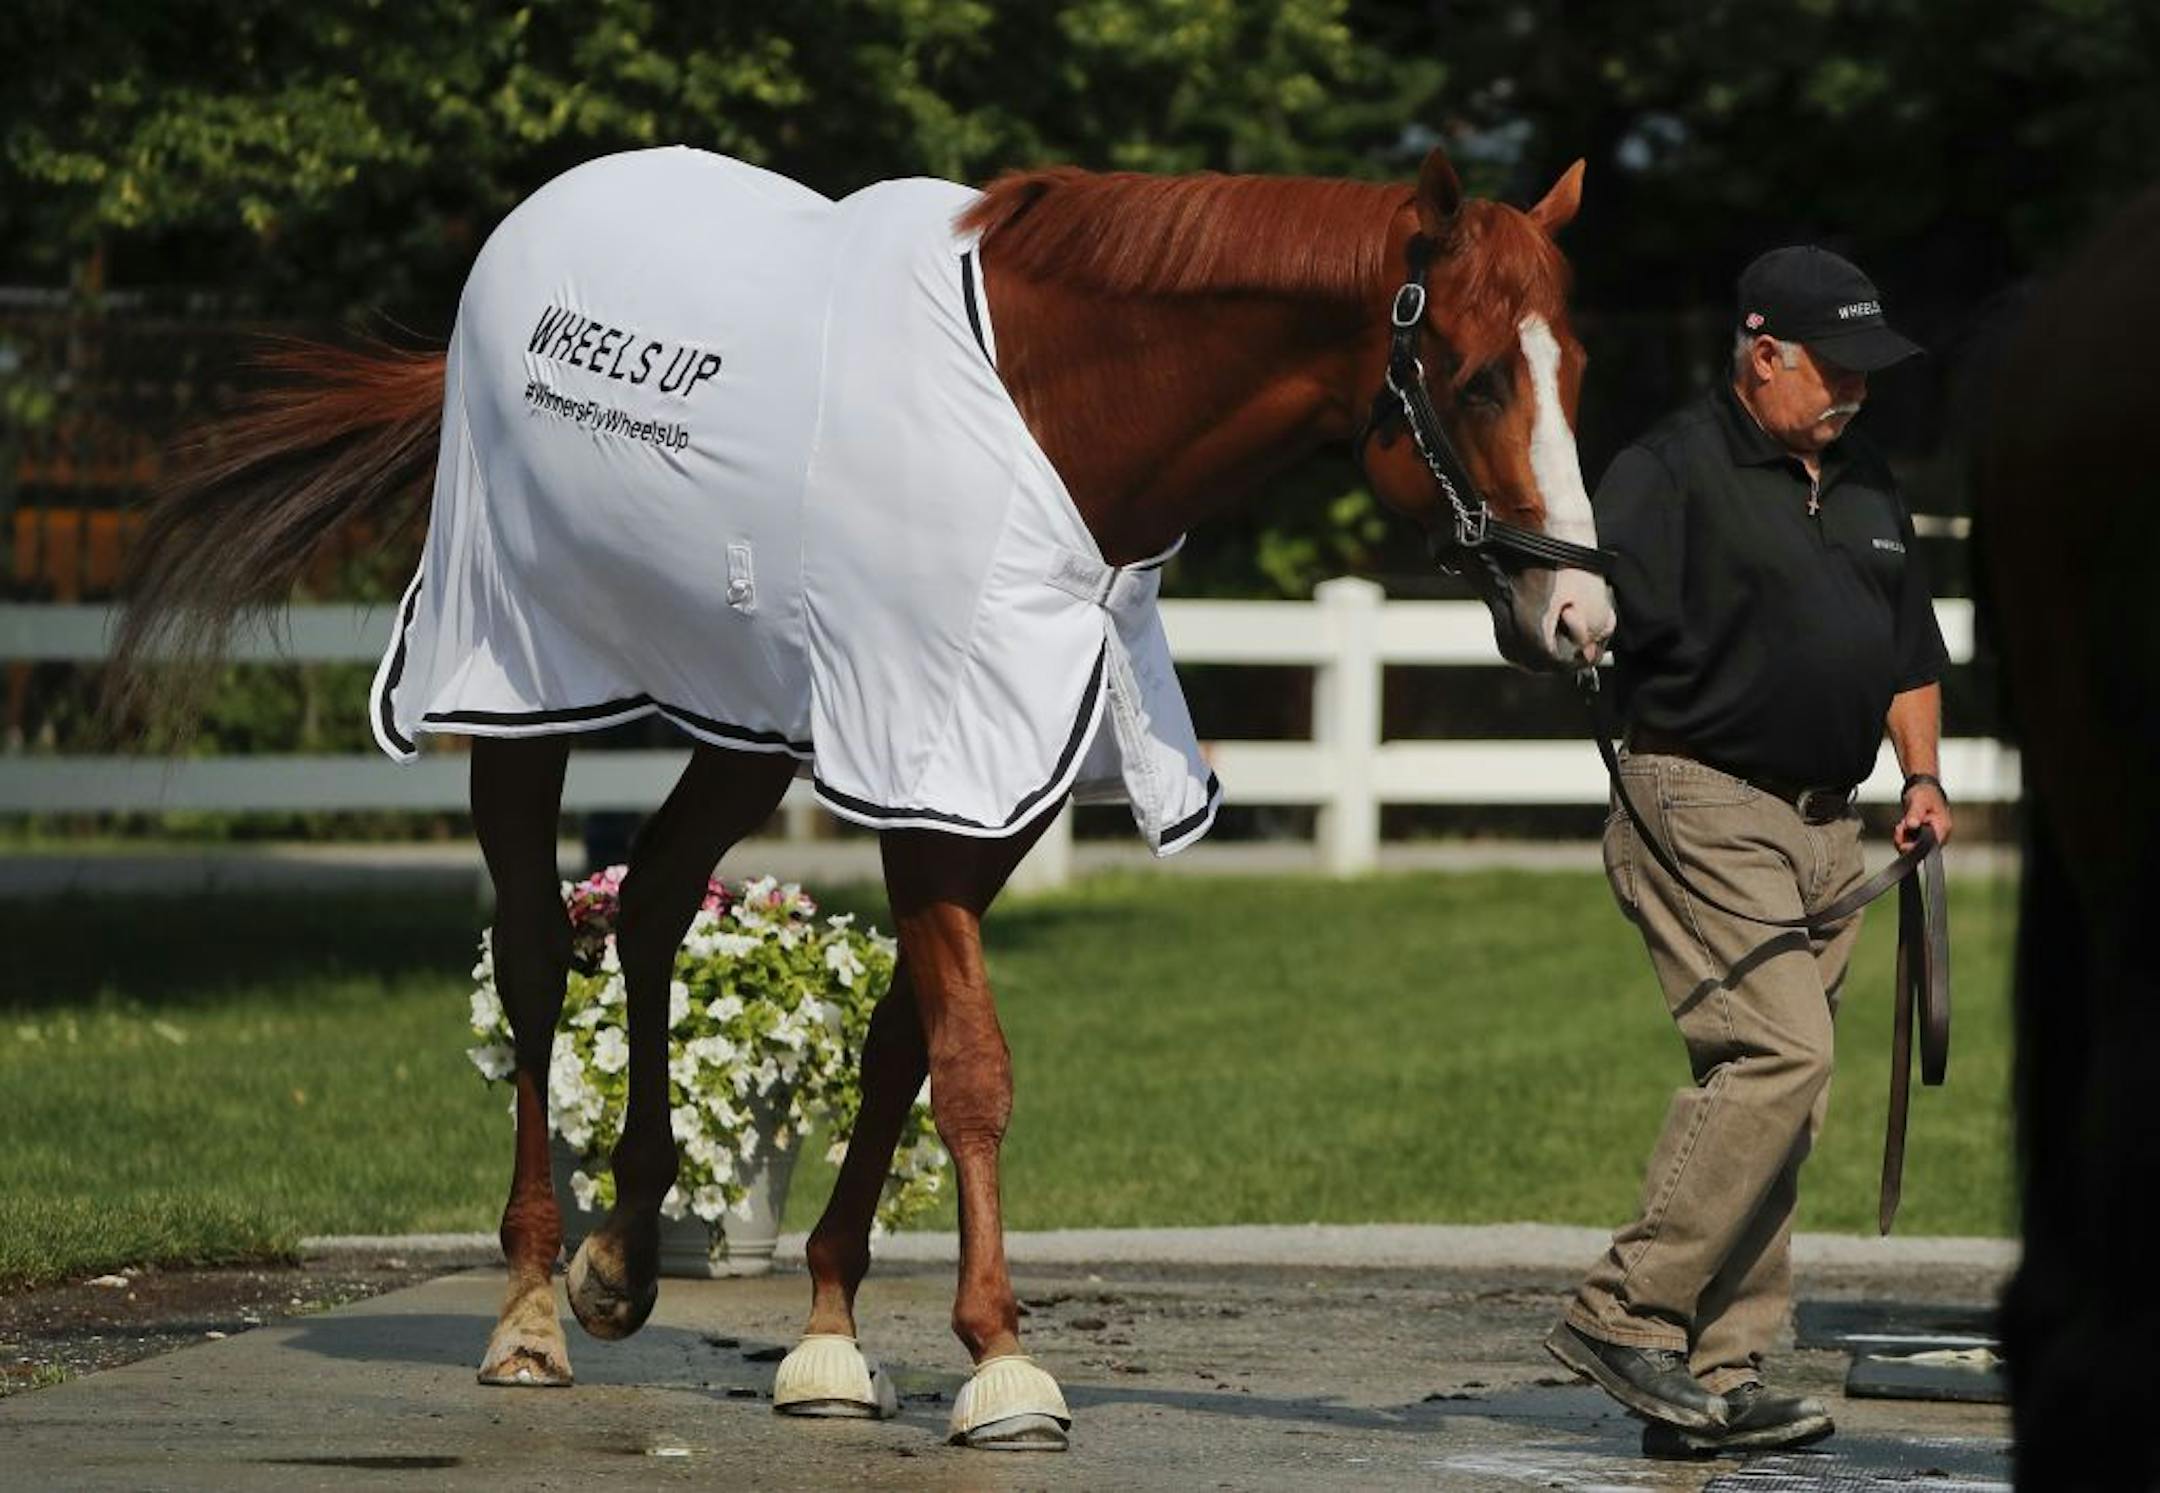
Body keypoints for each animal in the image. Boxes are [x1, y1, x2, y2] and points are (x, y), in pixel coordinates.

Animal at [110, 144, 1614, 1451]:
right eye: (1479, 378)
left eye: (1578, 370)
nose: (1579, 618)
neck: (1052, 411)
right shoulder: (920, 754)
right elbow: (973, 1065)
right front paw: (1001, 1358)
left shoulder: (983, 784)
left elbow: (902, 1044)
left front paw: (830, 1328)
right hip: (517, 683)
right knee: (539, 955)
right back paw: (534, 1303)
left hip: (751, 722)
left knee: (655, 899)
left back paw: (625, 1254)